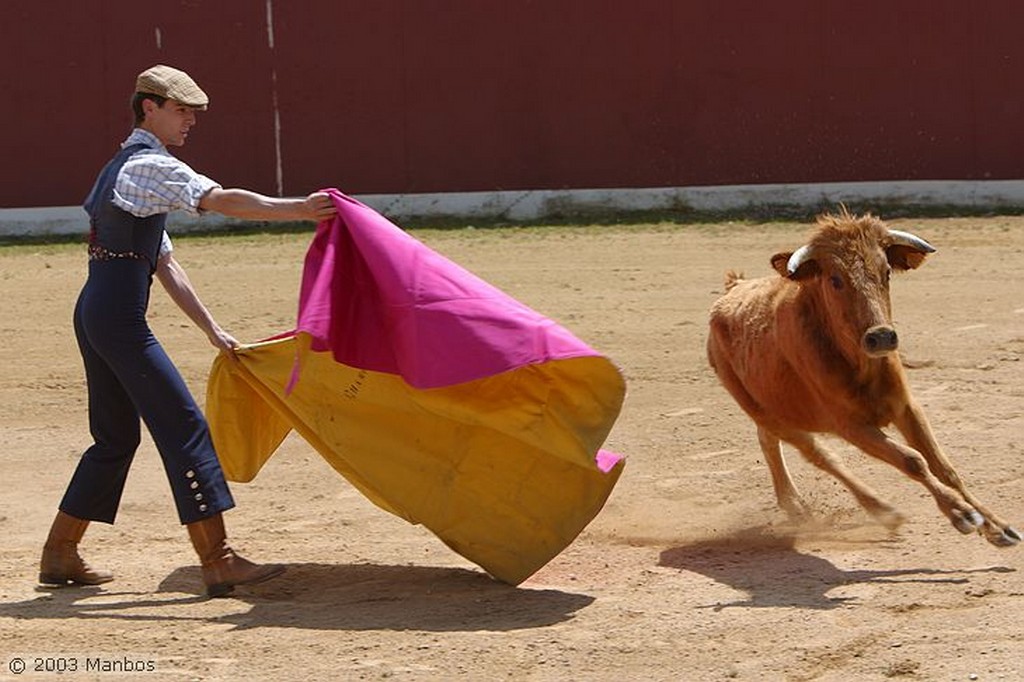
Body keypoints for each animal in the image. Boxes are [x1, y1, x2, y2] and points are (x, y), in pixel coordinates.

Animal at [708, 209, 1019, 544]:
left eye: (887, 272)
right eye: (835, 279)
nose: (881, 337)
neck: (861, 366)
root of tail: (733, 288)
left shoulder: (906, 407)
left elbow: (943, 466)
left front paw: (997, 527)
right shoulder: (851, 426)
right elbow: (913, 460)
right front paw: (961, 514)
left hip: (776, 409)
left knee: (769, 441)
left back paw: (796, 507)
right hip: (762, 410)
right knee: (818, 454)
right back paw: (883, 511)